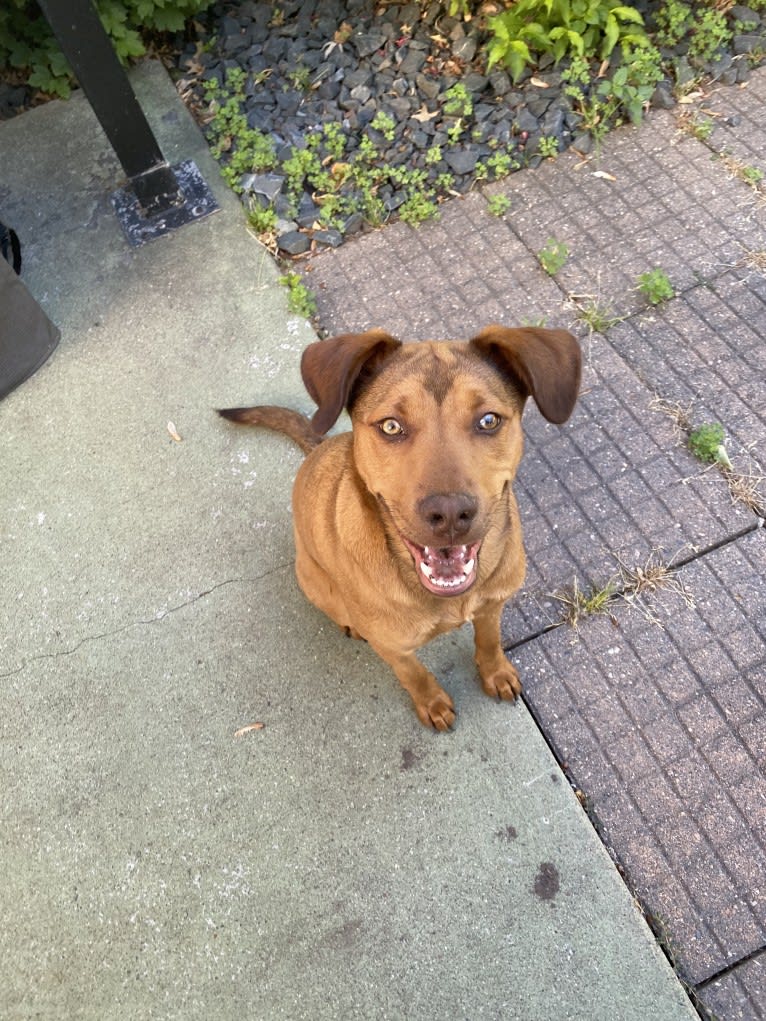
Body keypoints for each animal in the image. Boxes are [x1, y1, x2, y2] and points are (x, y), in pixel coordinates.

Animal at [220, 322, 580, 731]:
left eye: (488, 420)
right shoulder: (394, 648)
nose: (450, 514)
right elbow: (414, 674)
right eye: (391, 426)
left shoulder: (493, 606)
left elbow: (489, 641)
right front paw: (431, 702)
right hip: (314, 581)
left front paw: (496, 672)